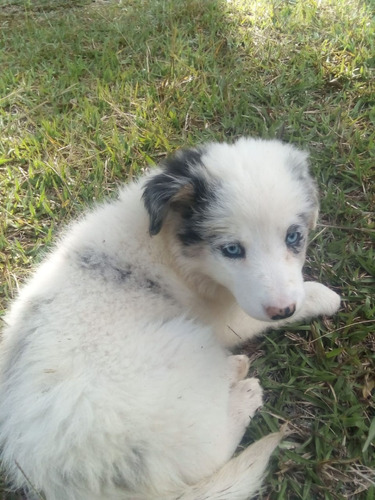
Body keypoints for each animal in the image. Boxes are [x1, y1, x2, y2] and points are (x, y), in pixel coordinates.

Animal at [0, 138, 340, 500]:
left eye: (293, 237)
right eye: (232, 250)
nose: (284, 310)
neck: (168, 243)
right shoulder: (227, 318)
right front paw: (325, 297)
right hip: (187, 347)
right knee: (211, 444)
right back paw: (244, 388)